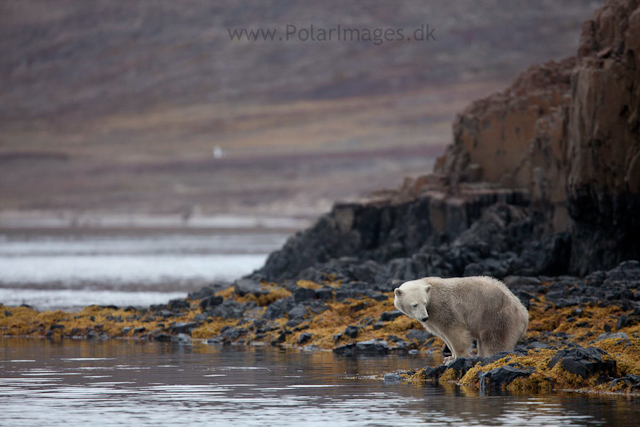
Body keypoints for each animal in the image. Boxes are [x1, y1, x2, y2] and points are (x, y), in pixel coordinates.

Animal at [396, 278, 528, 364]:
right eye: (414, 305)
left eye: (424, 302)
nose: (424, 318)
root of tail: (523, 312)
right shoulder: (432, 318)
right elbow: (443, 335)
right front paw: (449, 358)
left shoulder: (442, 307)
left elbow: (454, 331)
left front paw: (457, 357)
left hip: (496, 316)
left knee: (495, 340)